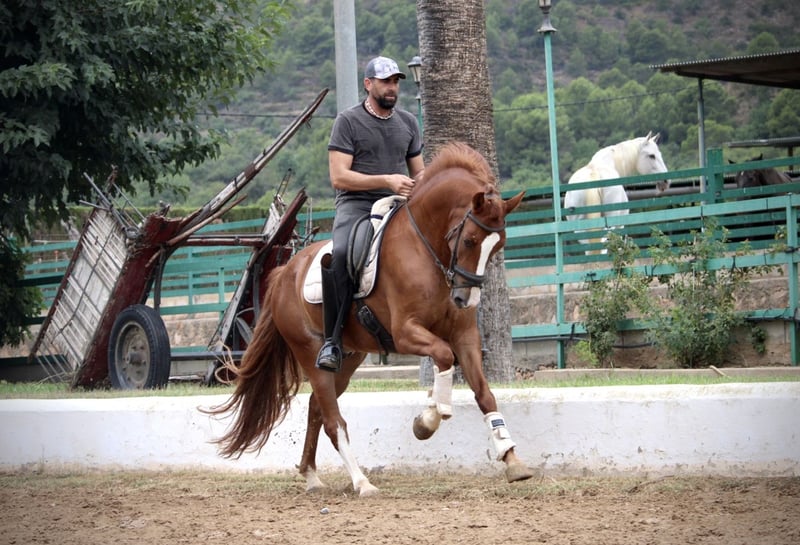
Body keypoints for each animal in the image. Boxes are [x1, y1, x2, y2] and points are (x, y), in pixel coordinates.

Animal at [205, 142, 530, 496]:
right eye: (470, 240)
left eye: (497, 246)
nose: (465, 299)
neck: (427, 250)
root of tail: (283, 274)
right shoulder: (405, 332)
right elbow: (444, 357)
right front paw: (429, 419)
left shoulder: (465, 335)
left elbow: (484, 393)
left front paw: (512, 459)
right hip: (310, 352)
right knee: (333, 420)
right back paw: (361, 481)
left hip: (348, 358)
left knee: (316, 408)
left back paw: (311, 475)